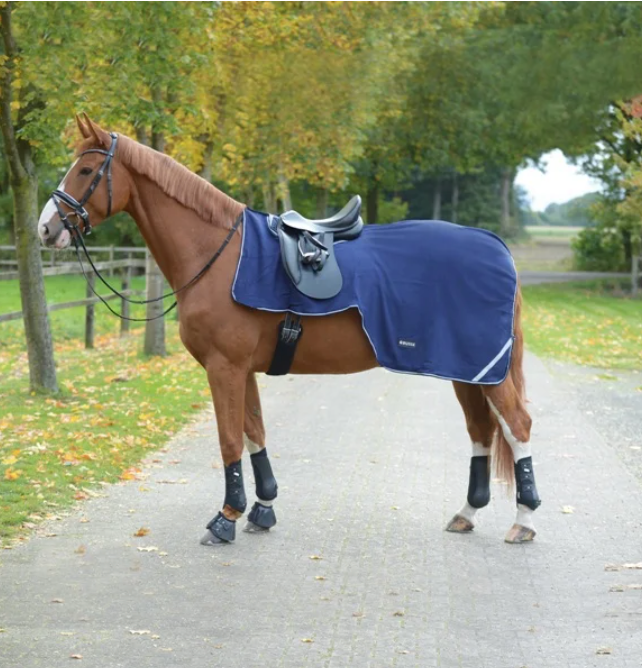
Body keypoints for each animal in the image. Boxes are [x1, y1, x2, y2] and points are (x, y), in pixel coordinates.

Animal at [37, 116, 540, 548]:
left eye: (86, 169)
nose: (45, 228)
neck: (217, 253)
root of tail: (498, 250)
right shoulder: (244, 369)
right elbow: (254, 432)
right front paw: (262, 510)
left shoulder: (224, 367)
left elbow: (229, 439)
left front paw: (225, 518)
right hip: (467, 372)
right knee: (480, 431)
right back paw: (467, 514)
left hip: (484, 372)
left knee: (517, 427)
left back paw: (523, 521)